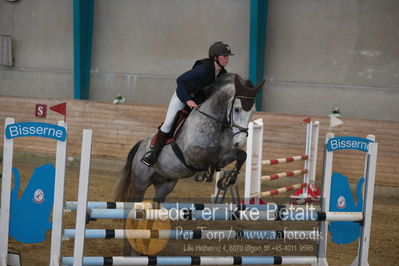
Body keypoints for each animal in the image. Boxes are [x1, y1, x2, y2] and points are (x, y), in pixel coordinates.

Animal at [113, 74, 262, 203]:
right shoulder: (190, 155)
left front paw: (226, 181)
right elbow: (211, 158)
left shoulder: (224, 155)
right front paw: (206, 175)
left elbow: (241, 155)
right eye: (237, 109)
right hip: (140, 183)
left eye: (253, 111)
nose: (240, 142)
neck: (215, 123)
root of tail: (140, 145)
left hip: (164, 185)